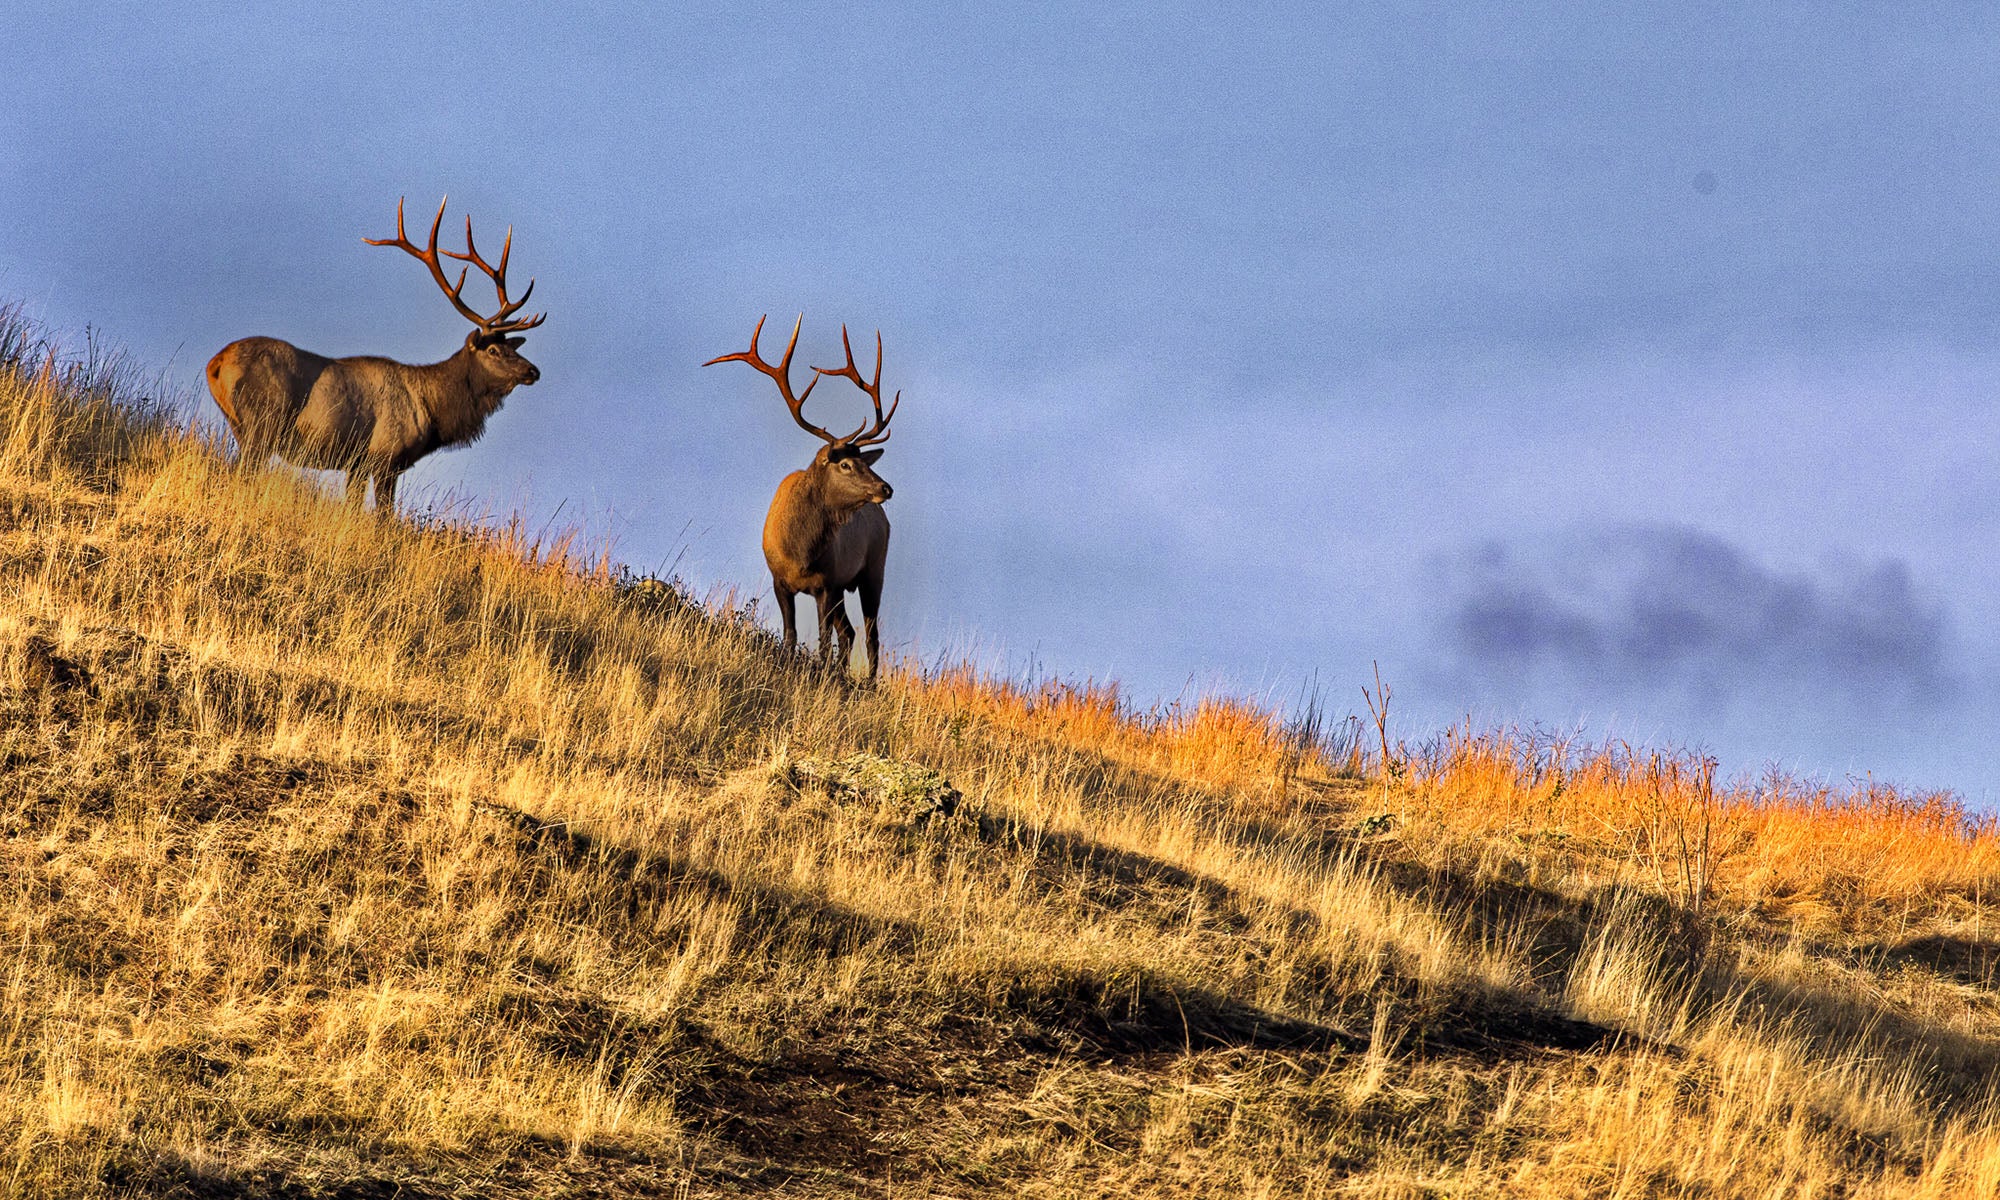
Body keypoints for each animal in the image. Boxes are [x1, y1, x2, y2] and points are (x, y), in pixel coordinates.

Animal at [206, 199, 548, 508]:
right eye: (493, 349)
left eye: (511, 347)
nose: (533, 371)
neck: (432, 410)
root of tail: (216, 364)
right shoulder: (384, 457)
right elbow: (384, 516)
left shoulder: (356, 465)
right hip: (261, 425)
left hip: (239, 425)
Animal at [700, 314, 896, 680]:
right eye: (846, 464)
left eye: (865, 462)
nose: (885, 488)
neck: (801, 552)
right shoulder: (781, 580)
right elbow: (790, 635)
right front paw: (790, 667)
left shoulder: (826, 584)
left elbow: (821, 642)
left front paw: (820, 672)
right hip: (846, 585)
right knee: (850, 632)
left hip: (873, 569)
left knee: (870, 633)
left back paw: (868, 683)